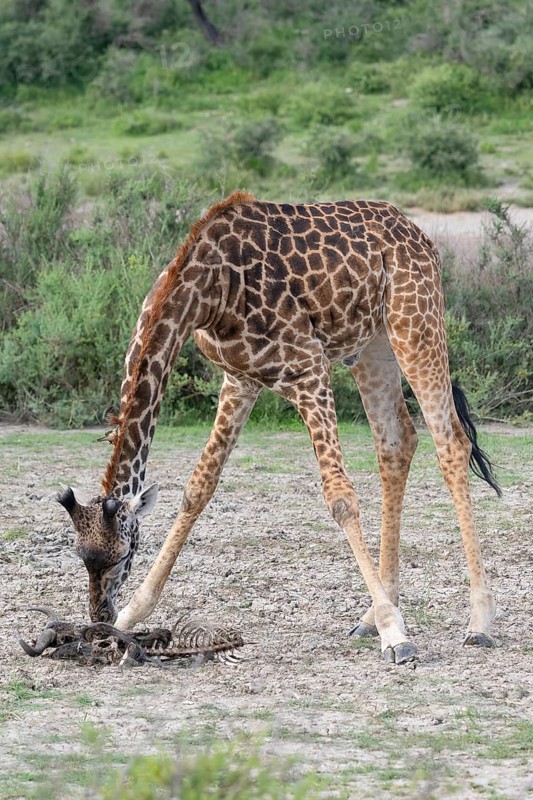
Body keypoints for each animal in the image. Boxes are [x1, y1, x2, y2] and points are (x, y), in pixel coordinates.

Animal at [58, 191, 500, 664]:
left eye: (121, 553)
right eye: (82, 556)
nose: (100, 614)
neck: (207, 290)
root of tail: (418, 234)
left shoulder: (309, 368)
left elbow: (340, 499)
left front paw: (395, 633)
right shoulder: (240, 379)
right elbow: (198, 488)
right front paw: (131, 617)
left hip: (416, 324)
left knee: (450, 442)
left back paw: (478, 623)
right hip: (372, 346)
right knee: (397, 441)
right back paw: (370, 616)